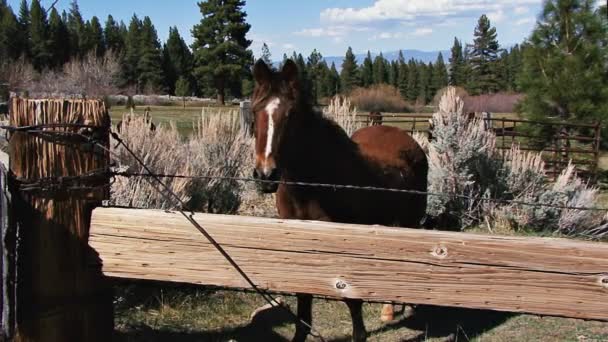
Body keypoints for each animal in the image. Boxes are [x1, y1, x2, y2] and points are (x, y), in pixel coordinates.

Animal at [247, 59, 428, 342]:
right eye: (255, 112)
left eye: (291, 115)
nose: (265, 175)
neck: (313, 185)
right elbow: (303, 296)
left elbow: (351, 296)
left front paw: (360, 334)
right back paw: (388, 310)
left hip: (408, 221)